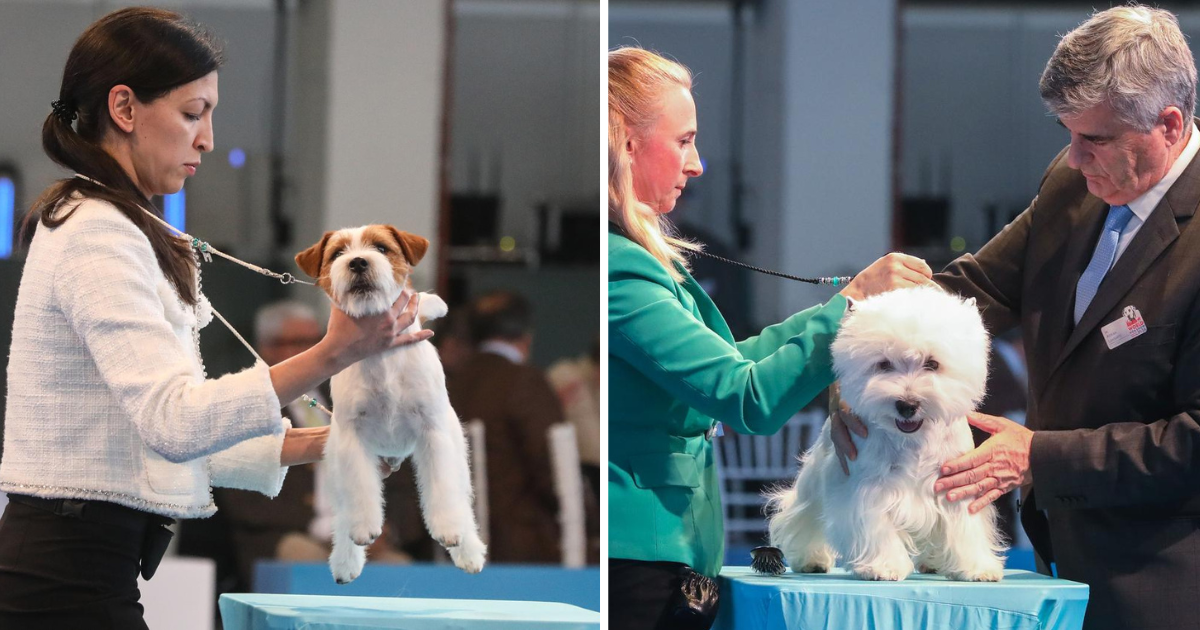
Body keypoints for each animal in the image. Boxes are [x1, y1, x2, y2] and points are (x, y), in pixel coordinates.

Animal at [296, 223, 487, 583]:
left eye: (382, 248)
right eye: (337, 253)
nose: (358, 262)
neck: (382, 356)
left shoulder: (433, 432)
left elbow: (443, 489)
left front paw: (448, 530)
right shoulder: (352, 438)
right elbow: (360, 493)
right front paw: (364, 530)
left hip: (456, 450)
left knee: (460, 498)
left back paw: (469, 552)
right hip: (336, 464)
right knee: (343, 513)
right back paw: (345, 561)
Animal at [763, 284, 1008, 580]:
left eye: (932, 364)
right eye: (883, 364)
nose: (907, 405)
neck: (913, 440)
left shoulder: (957, 484)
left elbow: (965, 529)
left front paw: (977, 568)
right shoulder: (869, 487)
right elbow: (877, 528)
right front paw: (884, 566)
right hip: (816, 482)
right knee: (804, 514)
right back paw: (811, 560)